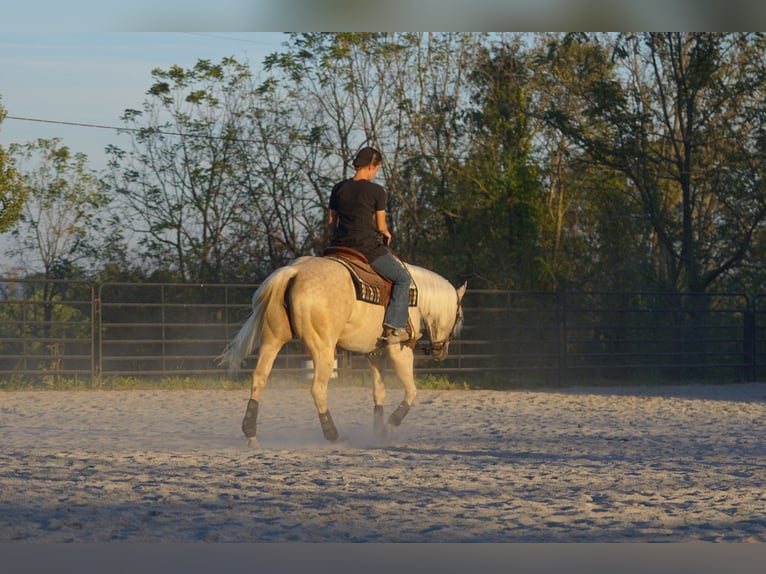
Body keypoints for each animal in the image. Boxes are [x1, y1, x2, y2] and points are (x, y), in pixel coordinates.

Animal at [217, 254, 467, 446]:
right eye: (459, 316)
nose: (441, 350)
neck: (414, 296)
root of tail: (295, 272)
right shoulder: (399, 351)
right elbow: (411, 391)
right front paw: (388, 428)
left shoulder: (375, 354)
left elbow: (379, 392)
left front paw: (377, 432)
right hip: (323, 350)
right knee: (318, 389)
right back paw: (333, 435)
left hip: (273, 340)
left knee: (259, 378)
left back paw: (251, 435)